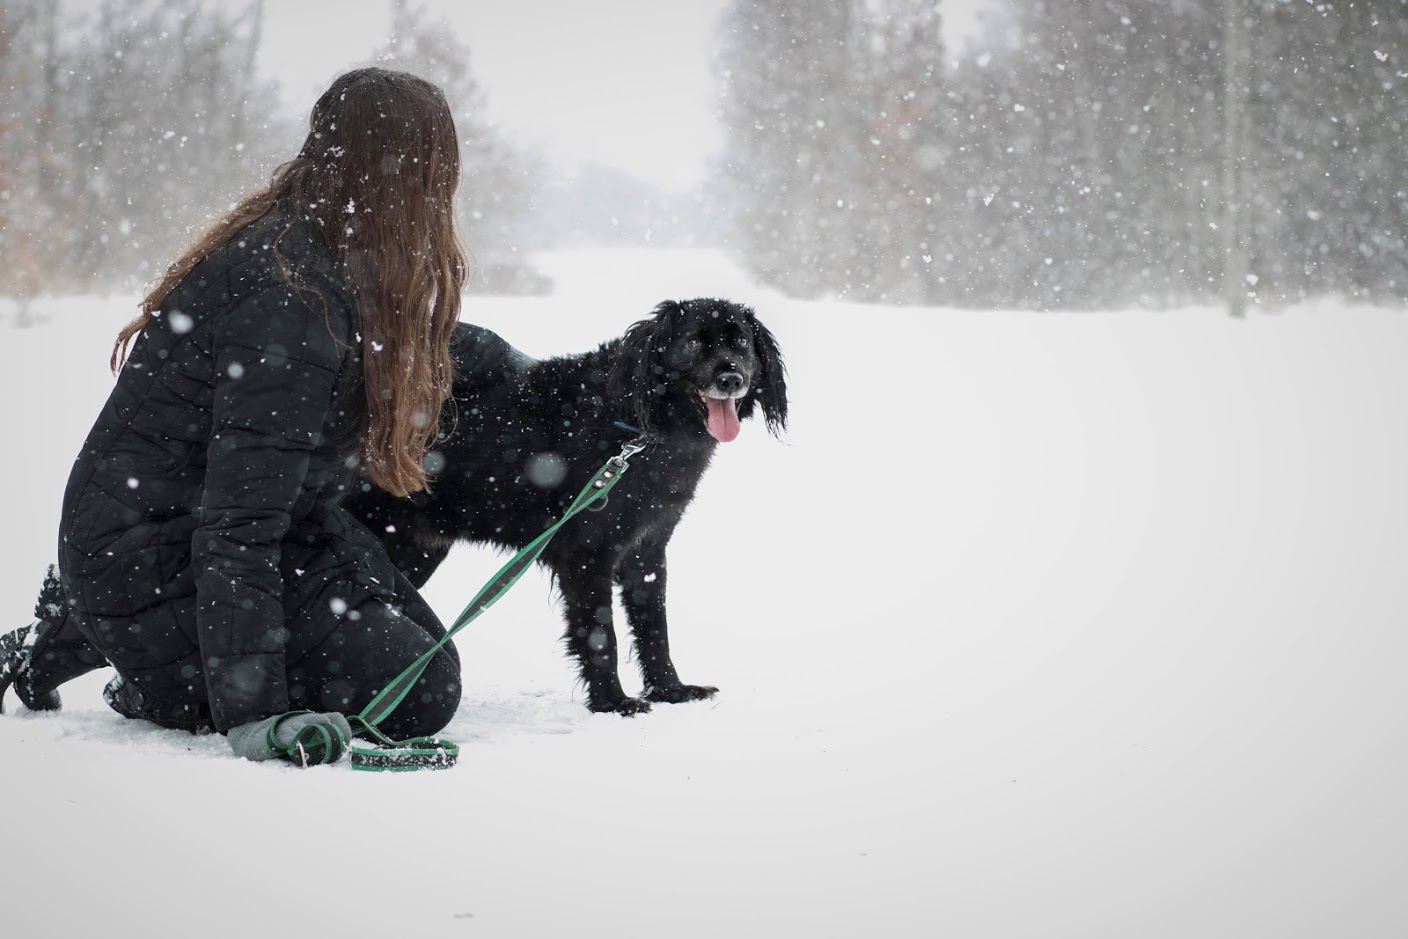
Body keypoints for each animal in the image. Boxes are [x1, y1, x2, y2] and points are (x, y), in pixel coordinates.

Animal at [343, 298, 788, 714]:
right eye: (695, 341)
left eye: (742, 343)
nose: (732, 378)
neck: (637, 428)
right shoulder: (586, 555)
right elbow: (601, 636)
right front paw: (613, 703)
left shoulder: (647, 551)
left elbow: (654, 628)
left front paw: (670, 690)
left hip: (417, 549)